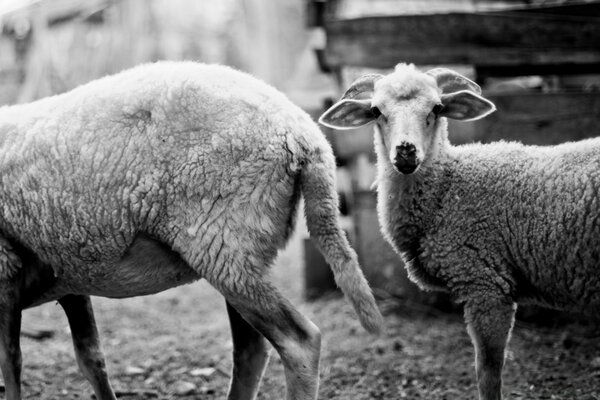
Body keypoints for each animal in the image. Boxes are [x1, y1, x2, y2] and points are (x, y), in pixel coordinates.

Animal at [0, 60, 384, 400]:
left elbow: (11, 364)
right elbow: (91, 360)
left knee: (298, 341)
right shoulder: (69, 274)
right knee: (251, 351)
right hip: (236, 254)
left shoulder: (6, 271)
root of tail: (304, 134)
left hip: (225, 244)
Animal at [318, 62, 600, 400]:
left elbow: (488, 371)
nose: (405, 152)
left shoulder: (486, 283)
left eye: (437, 108)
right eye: (375, 111)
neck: (448, 186)